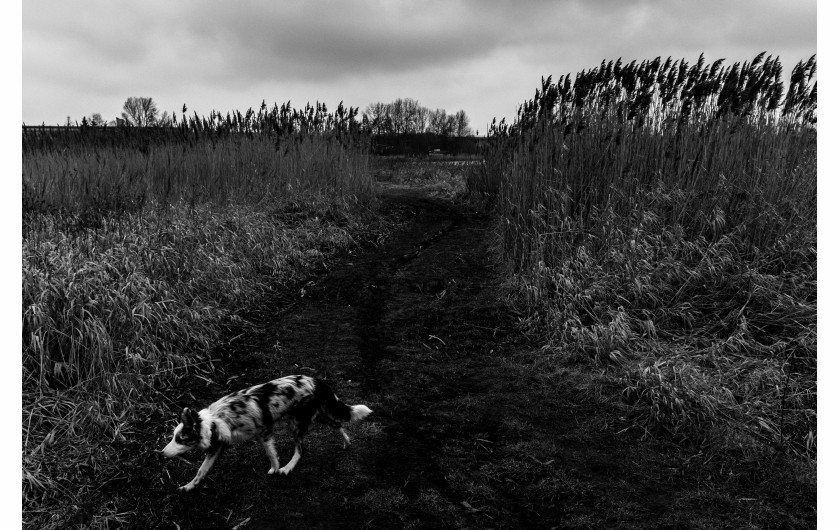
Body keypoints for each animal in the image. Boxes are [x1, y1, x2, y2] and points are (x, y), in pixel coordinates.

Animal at [162, 374, 372, 488]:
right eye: (174, 437)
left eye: (180, 439)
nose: (161, 452)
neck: (216, 420)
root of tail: (315, 379)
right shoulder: (218, 448)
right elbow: (201, 471)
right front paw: (188, 487)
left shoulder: (264, 432)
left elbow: (271, 454)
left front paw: (276, 469)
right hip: (315, 416)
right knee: (338, 424)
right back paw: (346, 442)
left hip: (296, 424)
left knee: (301, 449)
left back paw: (288, 468)